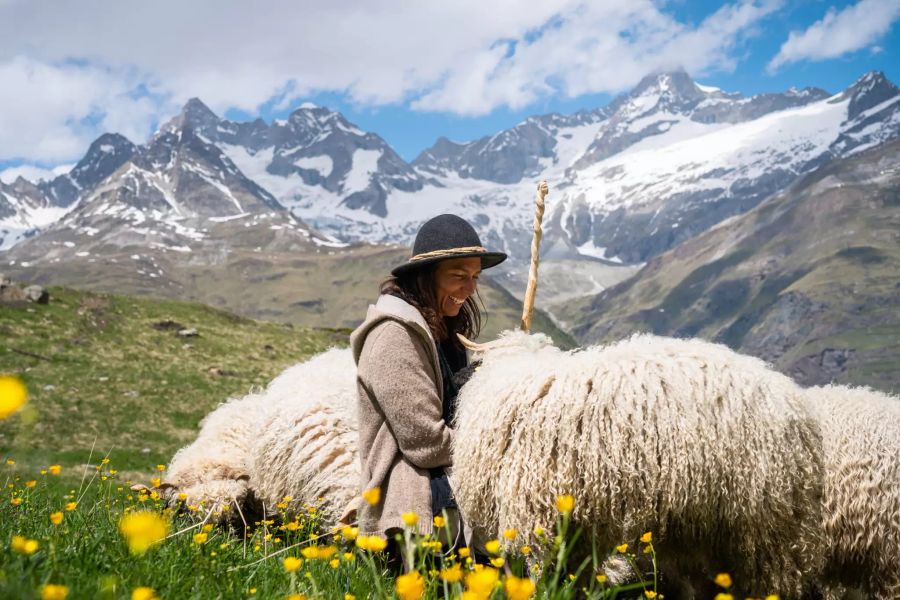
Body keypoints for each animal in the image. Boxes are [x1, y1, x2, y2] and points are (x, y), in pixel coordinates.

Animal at [454, 330, 828, 596]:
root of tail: (799, 410)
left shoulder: (541, 517)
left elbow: (546, 578)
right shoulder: (578, 527)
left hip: (764, 525)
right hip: (712, 531)